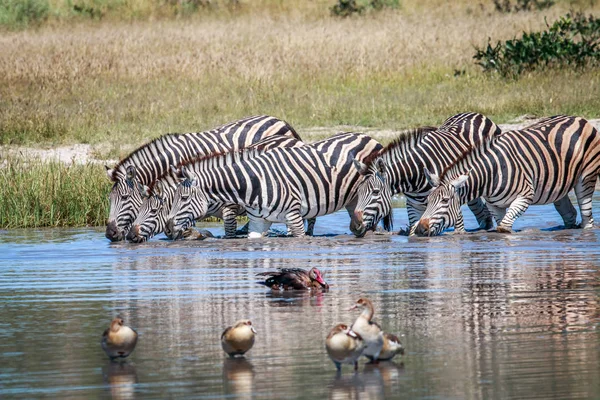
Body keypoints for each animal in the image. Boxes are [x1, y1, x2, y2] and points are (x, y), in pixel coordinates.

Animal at [164, 132, 382, 238]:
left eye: (183, 198)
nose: (168, 228)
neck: (250, 186)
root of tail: (367, 136)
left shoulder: (293, 217)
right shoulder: (258, 221)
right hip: (354, 202)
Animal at [350, 111, 500, 236]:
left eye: (375, 192)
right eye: (358, 192)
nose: (354, 227)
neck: (416, 175)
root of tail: (475, 114)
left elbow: (459, 231)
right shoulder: (413, 206)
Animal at [414, 114, 600, 236]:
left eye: (445, 201)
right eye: (428, 201)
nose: (420, 229)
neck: (490, 175)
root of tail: (579, 118)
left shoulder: (525, 195)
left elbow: (504, 228)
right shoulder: (495, 206)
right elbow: (501, 226)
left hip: (586, 177)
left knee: (587, 218)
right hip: (557, 186)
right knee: (569, 213)